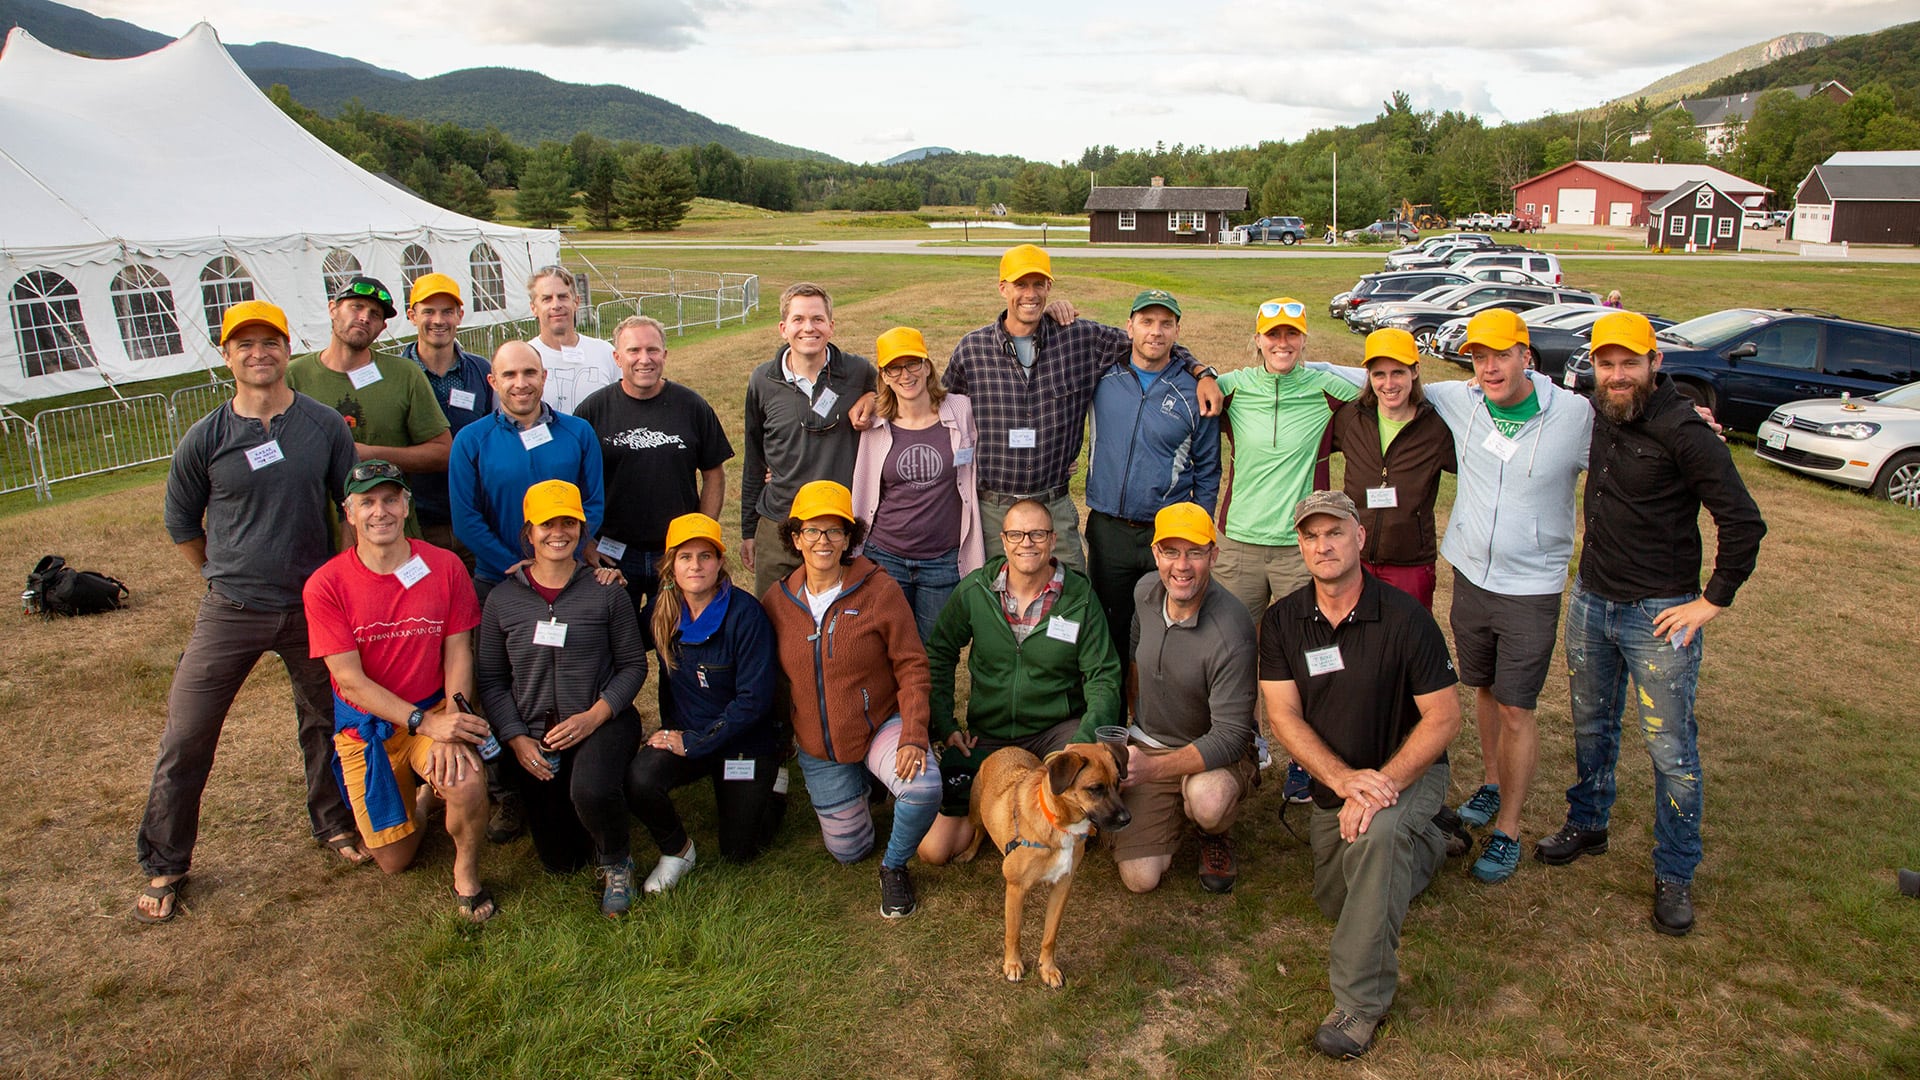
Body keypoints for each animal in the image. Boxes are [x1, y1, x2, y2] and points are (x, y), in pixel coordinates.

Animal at [956, 737, 1128, 983]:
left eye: (1117, 782)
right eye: (1095, 789)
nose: (1127, 819)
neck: (1059, 826)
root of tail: (1006, 748)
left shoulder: (1062, 886)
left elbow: (1050, 935)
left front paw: (1047, 968)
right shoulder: (1016, 889)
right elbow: (1013, 933)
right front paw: (1012, 964)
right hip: (976, 812)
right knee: (979, 831)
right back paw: (969, 852)